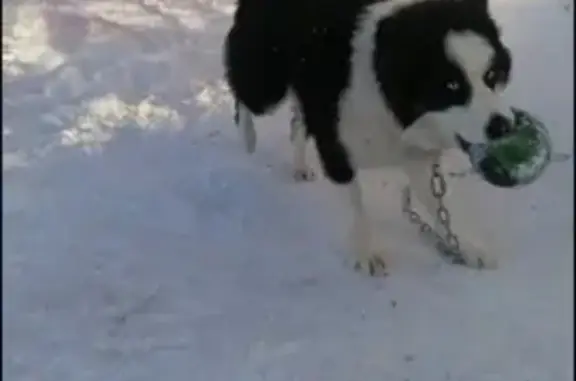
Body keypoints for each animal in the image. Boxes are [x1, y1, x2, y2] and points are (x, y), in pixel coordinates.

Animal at [224, 0, 512, 274]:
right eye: (450, 85)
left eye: (491, 75)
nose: (503, 126)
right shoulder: (335, 145)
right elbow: (357, 204)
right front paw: (365, 254)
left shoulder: (416, 154)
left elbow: (437, 203)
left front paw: (464, 245)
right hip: (265, 84)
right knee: (245, 96)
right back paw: (248, 136)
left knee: (297, 123)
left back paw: (300, 166)